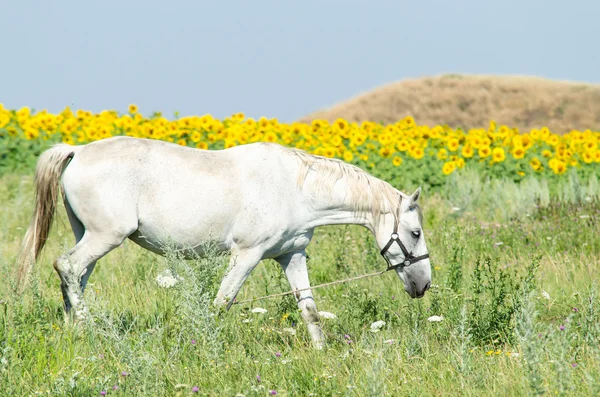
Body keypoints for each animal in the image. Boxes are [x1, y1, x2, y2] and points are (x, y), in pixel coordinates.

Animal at [17, 135, 432, 346]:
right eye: (415, 232)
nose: (424, 284)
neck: (295, 189)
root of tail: (79, 151)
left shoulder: (293, 256)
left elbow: (310, 310)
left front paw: (322, 354)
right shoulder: (247, 255)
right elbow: (221, 305)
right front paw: (203, 347)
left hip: (89, 235)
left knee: (74, 279)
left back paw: (75, 333)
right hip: (106, 236)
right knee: (67, 267)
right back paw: (90, 330)